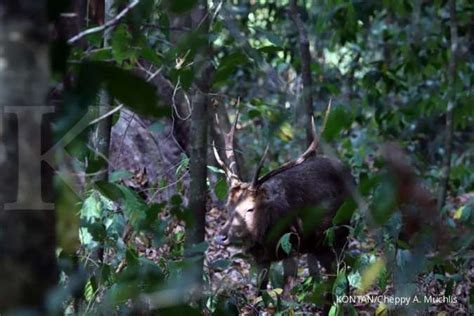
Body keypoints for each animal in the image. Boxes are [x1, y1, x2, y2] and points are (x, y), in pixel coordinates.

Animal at [213, 103, 354, 302]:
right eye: (228, 206)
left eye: (250, 208)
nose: (221, 236)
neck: (267, 237)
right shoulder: (261, 258)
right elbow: (259, 291)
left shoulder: (291, 245)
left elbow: (286, 296)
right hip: (318, 243)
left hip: (342, 229)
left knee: (342, 270)